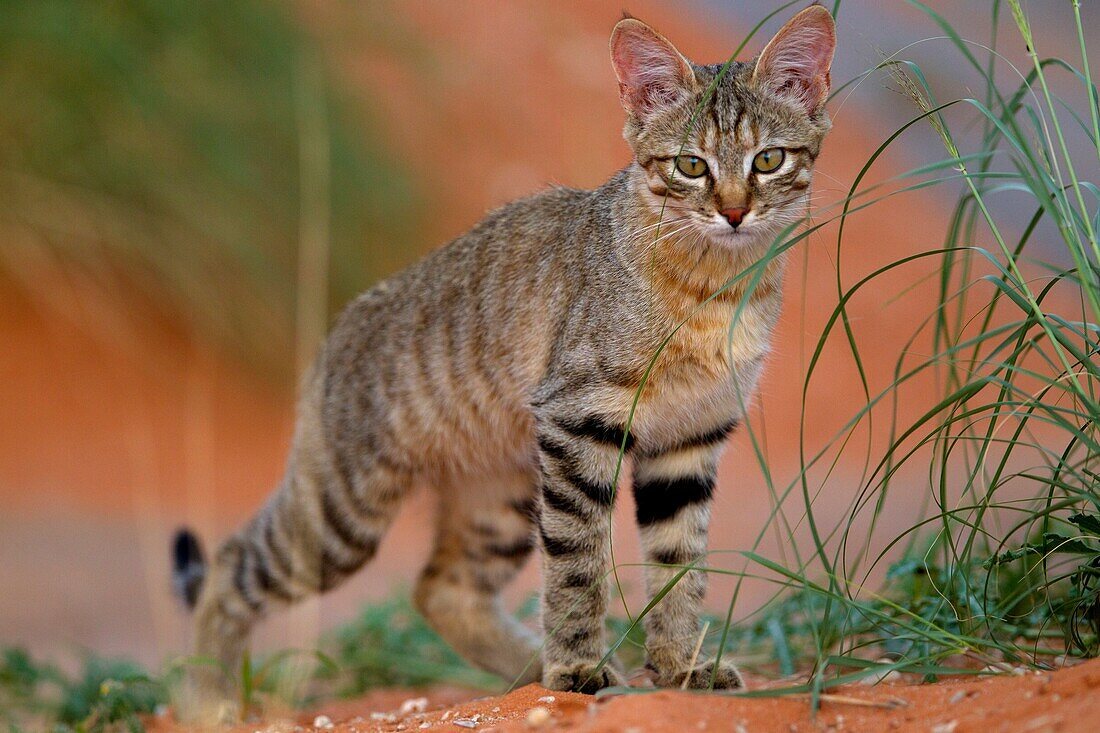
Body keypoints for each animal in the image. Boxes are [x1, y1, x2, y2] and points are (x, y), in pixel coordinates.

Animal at [173, 2, 831, 717]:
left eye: (769, 159)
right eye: (690, 165)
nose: (734, 211)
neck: (719, 287)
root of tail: (335, 332)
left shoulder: (689, 441)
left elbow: (679, 567)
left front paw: (679, 667)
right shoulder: (579, 418)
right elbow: (578, 564)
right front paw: (575, 671)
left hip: (503, 496)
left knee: (442, 591)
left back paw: (527, 667)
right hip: (343, 512)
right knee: (231, 561)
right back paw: (206, 699)